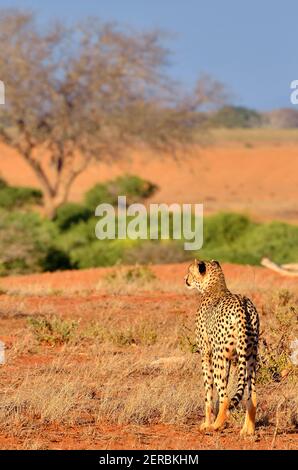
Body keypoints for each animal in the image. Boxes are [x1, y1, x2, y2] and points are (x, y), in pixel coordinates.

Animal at [185, 258, 260, 436]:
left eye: (190, 271)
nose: (186, 279)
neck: (214, 287)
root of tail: (242, 303)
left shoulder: (206, 353)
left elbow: (209, 391)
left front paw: (207, 423)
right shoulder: (229, 358)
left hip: (219, 355)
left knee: (226, 397)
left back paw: (215, 426)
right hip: (251, 355)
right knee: (252, 395)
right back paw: (248, 430)